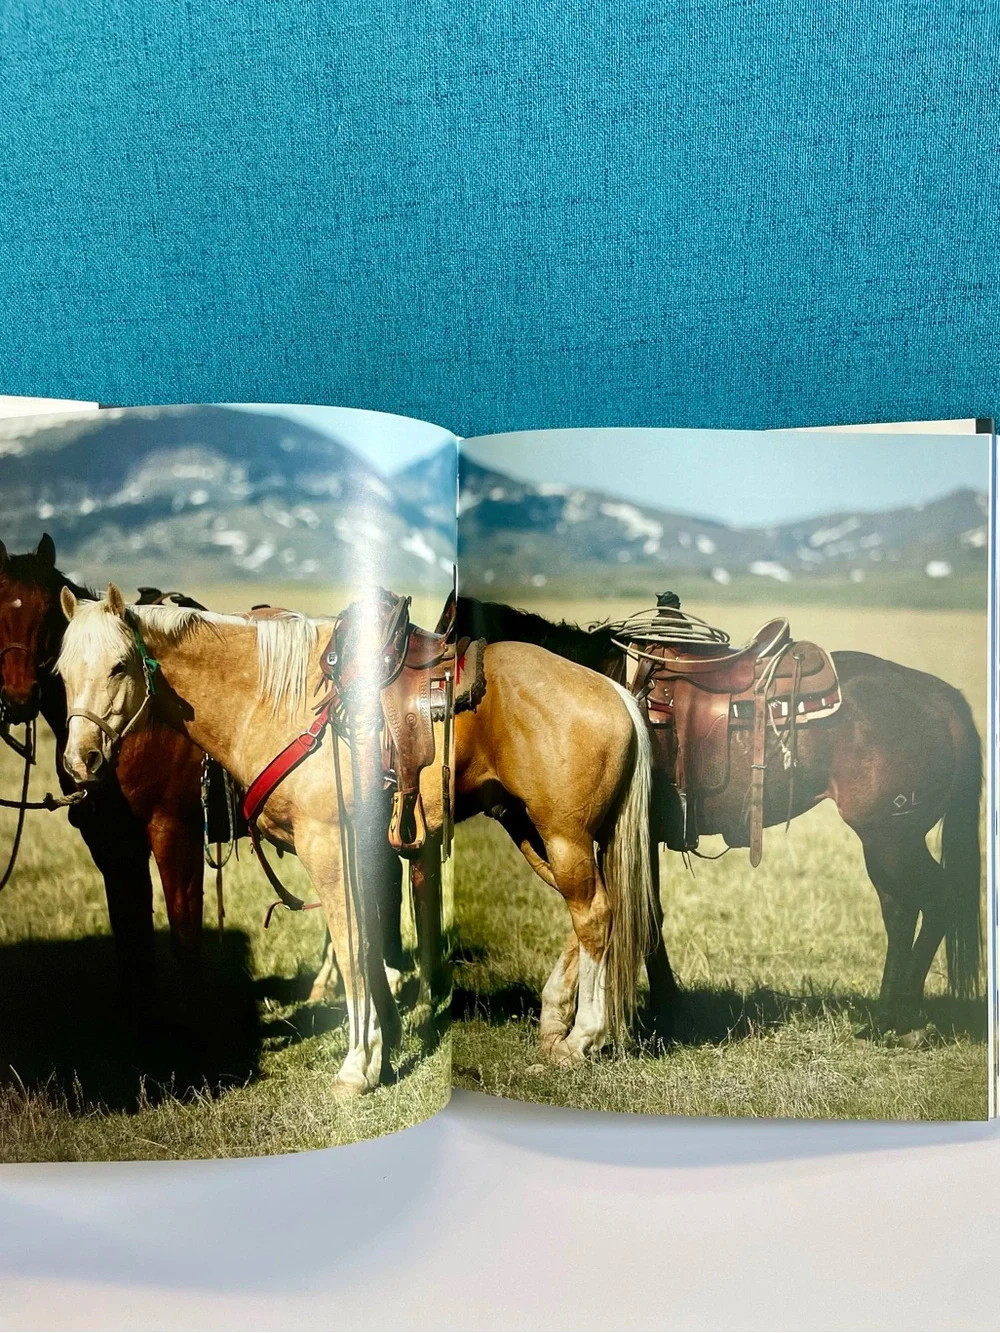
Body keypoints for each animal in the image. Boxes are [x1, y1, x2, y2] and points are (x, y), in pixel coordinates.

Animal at [0, 537, 205, 1017]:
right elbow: (131, 936)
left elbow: (185, 940)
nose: (17, 697)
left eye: (44, 613)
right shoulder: (110, 843)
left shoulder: (176, 834)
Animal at [57, 586, 656, 1078]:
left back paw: (582, 1038)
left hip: (564, 836)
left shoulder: (323, 845)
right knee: (598, 912)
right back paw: (556, 1024)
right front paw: (388, 1036)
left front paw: (358, 1064)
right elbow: (369, 938)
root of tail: (615, 692)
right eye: (61, 672)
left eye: (118, 666)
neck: (278, 702)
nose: (81, 760)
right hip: (532, 830)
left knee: (594, 916)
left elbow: (349, 944)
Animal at [456, 596, 984, 1035]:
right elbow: (648, 915)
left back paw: (902, 1017)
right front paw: (665, 1008)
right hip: (890, 842)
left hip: (891, 836)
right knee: (901, 909)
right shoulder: (633, 837)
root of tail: (944, 700)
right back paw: (885, 1014)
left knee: (934, 901)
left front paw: (661, 1013)